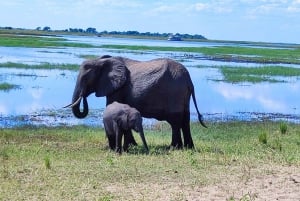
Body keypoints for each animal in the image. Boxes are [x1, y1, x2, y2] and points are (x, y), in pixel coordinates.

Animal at [64, 55, 206, 148]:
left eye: (85, 78)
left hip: (174, 92)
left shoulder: (117, 88)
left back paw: (174, 147)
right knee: (185, 119)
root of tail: (189, 80)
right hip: (183, 94)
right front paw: (133, 145)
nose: (83, 96)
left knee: (175, 120)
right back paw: (188, 147)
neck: (101, 61)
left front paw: (130, 146)